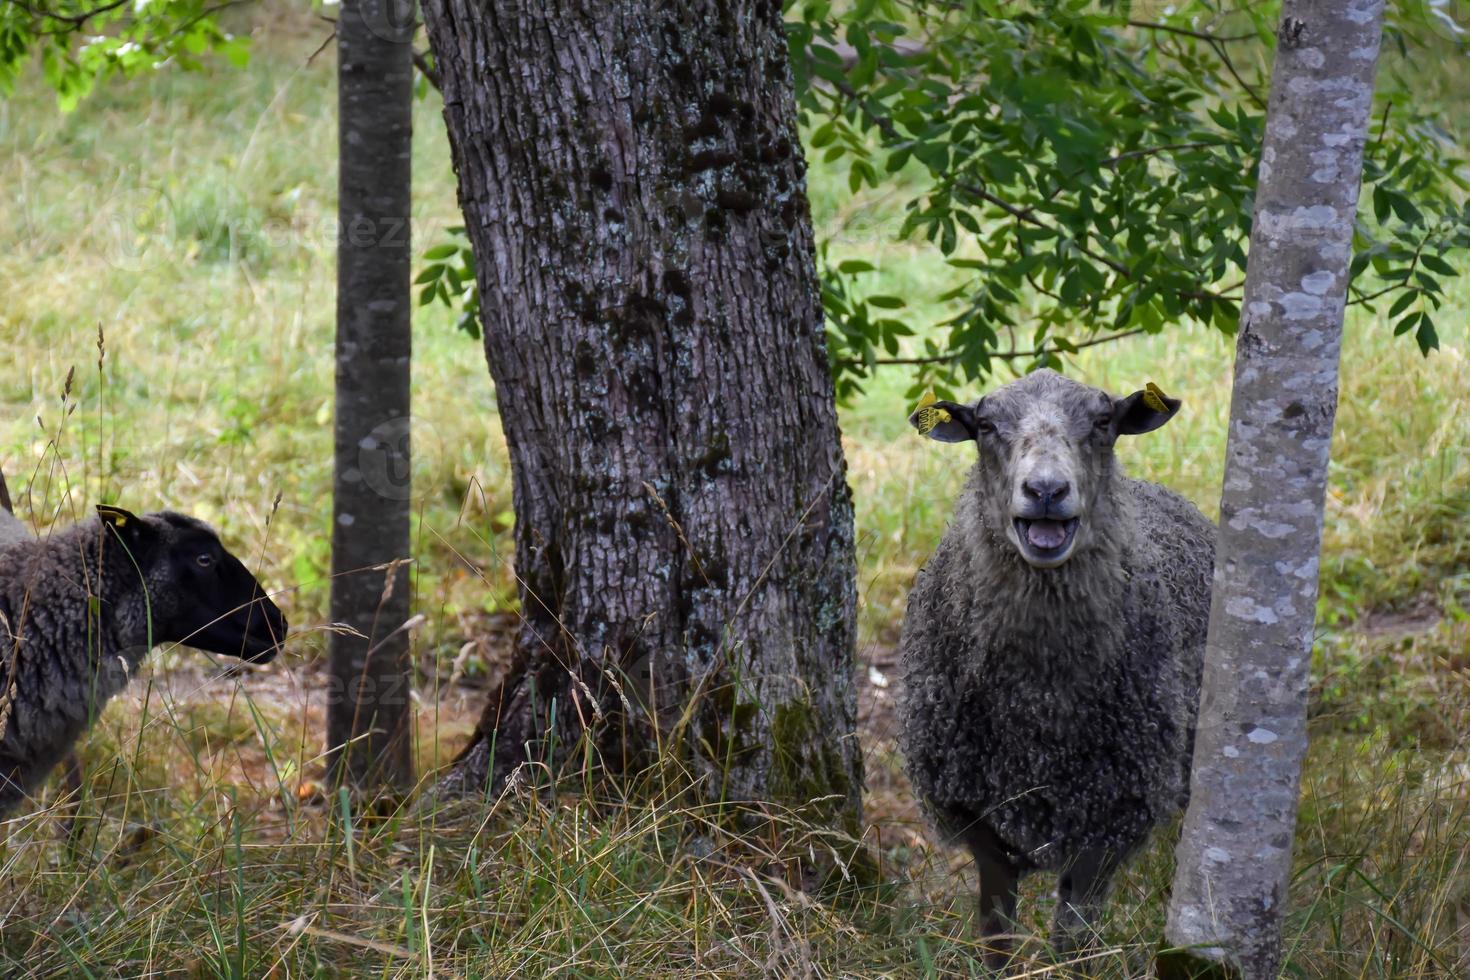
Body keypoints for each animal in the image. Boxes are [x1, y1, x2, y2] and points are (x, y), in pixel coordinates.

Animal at [899, 371, 1211, 969]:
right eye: (986, 425)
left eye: (1103, 422)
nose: (1046, 491)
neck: (1039, 710)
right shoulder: (975, 812)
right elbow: (996, 929)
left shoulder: (1112, 814)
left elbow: (1074, 937)